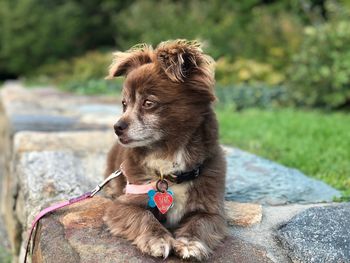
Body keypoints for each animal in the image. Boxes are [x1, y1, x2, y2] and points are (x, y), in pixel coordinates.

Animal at [102, 39, 228, 262]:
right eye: (124, 104)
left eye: (148, 103)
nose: (117, 127)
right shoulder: (122, 205)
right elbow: (143, 215)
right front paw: (158, 238)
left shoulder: (213, 212)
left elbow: (200, 222)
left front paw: (189, 242)